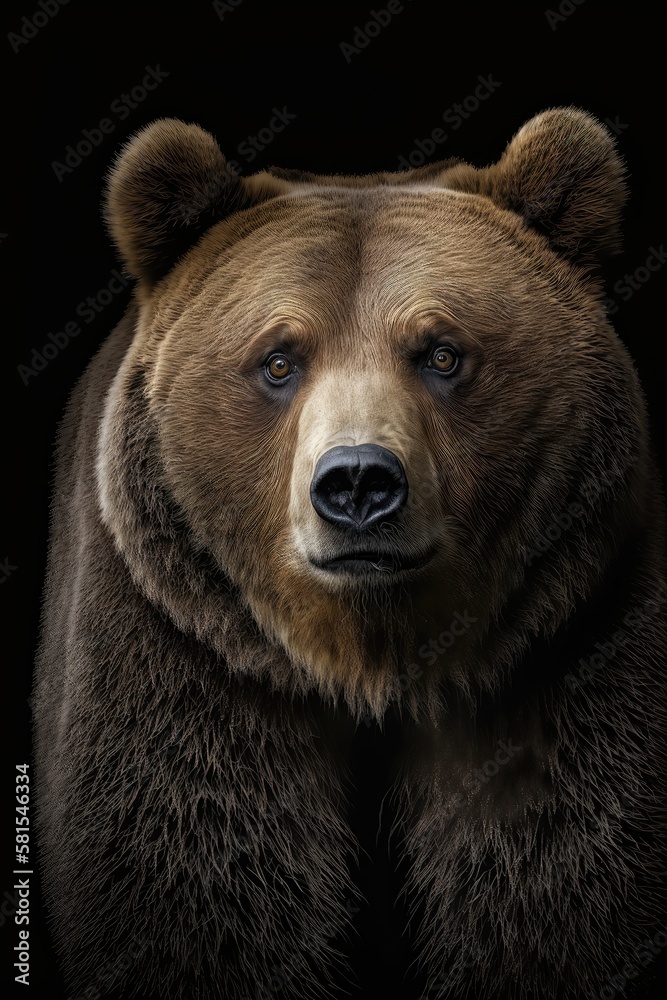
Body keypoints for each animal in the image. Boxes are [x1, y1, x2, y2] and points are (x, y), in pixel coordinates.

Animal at [32, 108, 667, 1000]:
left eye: (442, 352)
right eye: (277, 359)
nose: (359, 482)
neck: (365, 656)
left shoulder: (567, 637)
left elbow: (560, 862)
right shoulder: (183, 643)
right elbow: (190, 871)